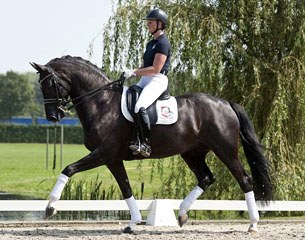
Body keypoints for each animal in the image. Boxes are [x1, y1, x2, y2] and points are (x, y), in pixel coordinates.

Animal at [31, 55, 274, 232]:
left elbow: (68, 169)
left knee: (244, 180)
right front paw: (132, 223)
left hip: (225, 150)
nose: (53, 116)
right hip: (192, 153)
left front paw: (50, 207)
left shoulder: (104, 153)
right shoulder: (112, 159)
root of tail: (225, 103)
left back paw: (253, 224)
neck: (102, 104)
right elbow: (126, 188)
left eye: (50, 84)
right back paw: (182, 214)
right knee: (206, 178)